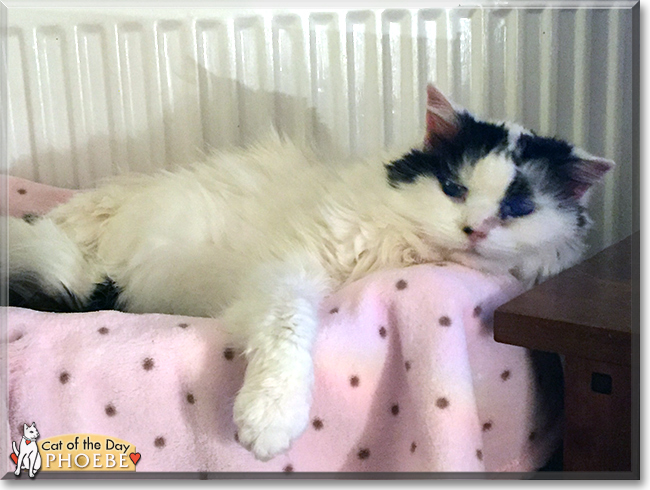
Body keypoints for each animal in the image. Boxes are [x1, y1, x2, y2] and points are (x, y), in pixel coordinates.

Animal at [6, 83, 612, 460]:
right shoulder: (285, 273)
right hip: (80, 240)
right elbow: (289, 328)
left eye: (518, 207)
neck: (404, 253)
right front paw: (271, 417)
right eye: (453, 188)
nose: (475, 229)